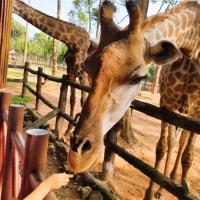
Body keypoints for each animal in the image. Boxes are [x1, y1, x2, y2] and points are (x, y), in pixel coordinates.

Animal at [13, 0, 90, 133]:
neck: (71, 41)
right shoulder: (71, 71)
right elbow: (72, 99)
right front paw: (67, 131)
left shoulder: (82, 73)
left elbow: (82, 101)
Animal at [68, 0, 199, 194]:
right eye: (86, 67)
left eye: (137, 78)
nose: (77, 158)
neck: (193, 48)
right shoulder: (166, 104)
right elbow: (162, 147)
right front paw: (152, 193)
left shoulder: (197, 111)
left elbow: (188, 155)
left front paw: (183, 189)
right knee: (174, 141)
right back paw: (166, 184)